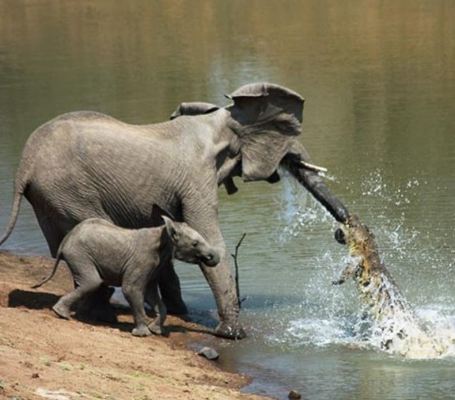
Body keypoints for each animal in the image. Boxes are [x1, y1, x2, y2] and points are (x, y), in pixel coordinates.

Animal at [32, 217, 221, 336]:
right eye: (195, 244)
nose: (212, 257)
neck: (164, 232)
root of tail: (66, 239)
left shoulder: (155, 265)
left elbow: (151, 294)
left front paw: (156, 331)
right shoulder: (142, 260)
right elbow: (131, 289)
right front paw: (142, 334)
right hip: (79, 254)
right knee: (92, 282)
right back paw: (62, 314)